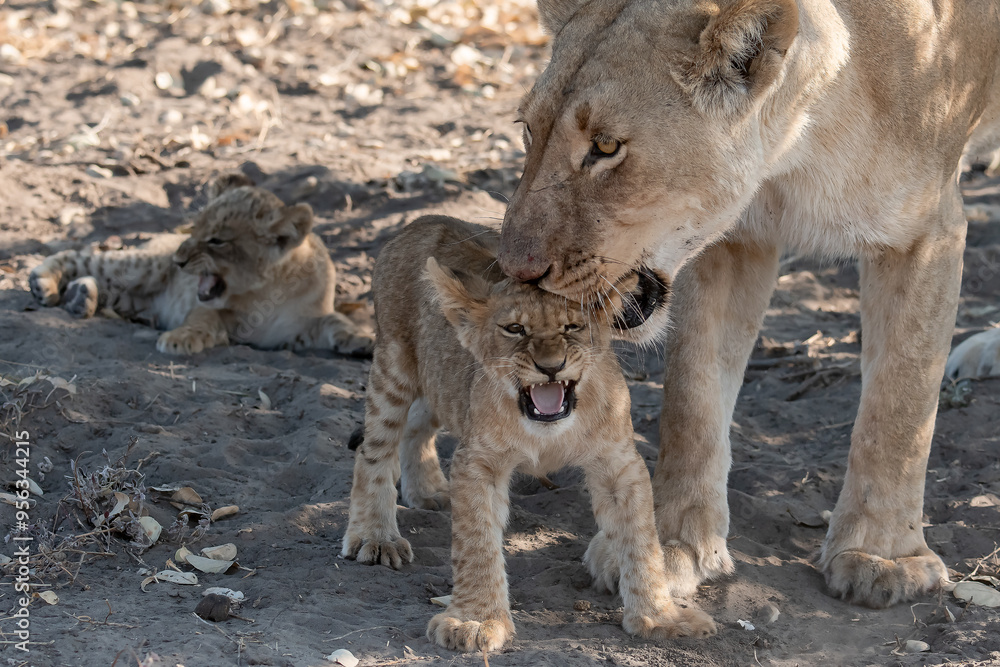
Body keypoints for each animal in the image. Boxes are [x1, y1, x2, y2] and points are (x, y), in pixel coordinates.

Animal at [29, 174, 373, 357]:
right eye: (194, 230)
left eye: (217, 240)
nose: (178, 261)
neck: (269, 289)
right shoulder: (219, 313)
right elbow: (204, 317)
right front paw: (180, 338)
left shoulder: (299, 330)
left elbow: (335, 323)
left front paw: (363, 340)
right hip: (142, 268)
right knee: (81, 257)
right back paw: (42, 282)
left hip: (131, 301)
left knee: (102, 289)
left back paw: (80, 299)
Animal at [341, 215, 716, 652]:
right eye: (515, 329)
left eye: (573, 327)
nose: (551, 367)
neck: (548, 431)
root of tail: (425, 219)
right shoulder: (478, 462)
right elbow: (476, 543)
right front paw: (475, 620)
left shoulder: (619, 463)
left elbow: (642, 540)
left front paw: (660, 617)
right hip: (394, 361)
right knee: (374, 447)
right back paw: (375, 537)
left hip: (440, 384)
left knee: (417, 424)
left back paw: (429, 491)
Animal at [495, 0, 1000, 608]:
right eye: (529, 129)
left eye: (607, 147)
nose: (514, 270)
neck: (797, 147)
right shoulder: (732, 240)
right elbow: (692, 398)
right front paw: (668, 545)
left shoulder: (927, 232)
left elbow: (900, 407)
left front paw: (883, 555)